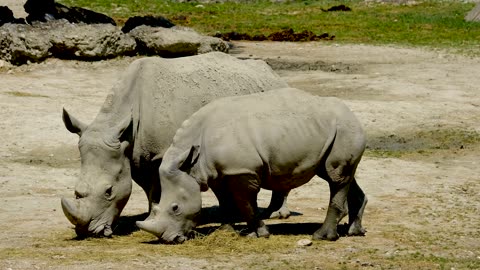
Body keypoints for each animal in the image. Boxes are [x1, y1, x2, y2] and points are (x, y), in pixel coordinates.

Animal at [62, 52, 290, 236]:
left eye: (108, 191)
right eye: (76, 191)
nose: (86, 231)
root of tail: (273, 74)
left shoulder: (161, 152)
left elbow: (158, 187)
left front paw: (151, 219)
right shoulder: (134, 154)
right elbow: (149, 188)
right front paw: (151, 216)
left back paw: (276, 214)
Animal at [137, 88, 370, 243]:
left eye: (175, 208)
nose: (169, 239)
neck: (192, 160)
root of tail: (353, 114)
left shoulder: (242, 171)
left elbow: (246, 203)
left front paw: (260, 234)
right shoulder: (219, 173)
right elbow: (229, 203)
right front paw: (233, 231)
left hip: (344, 129)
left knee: (336, 178)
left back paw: (322, 237)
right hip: (332, 131)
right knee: (342, 175)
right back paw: (354, 232)